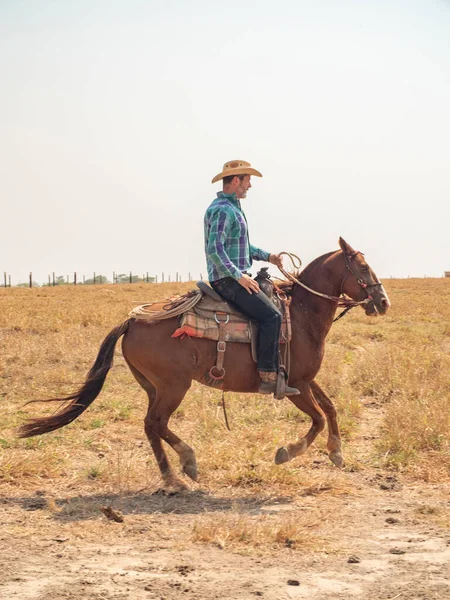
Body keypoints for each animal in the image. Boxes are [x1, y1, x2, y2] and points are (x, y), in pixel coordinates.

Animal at [18, 239, 390, 492]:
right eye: (362, 268)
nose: (383, 302)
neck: (300, 315)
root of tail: (132, 321)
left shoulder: (305, 380)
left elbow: (330, 407)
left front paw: (336, 451)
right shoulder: (293, 385)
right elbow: (316, 419)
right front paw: (287, 451)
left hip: (154, 387)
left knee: (150, 426)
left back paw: (173, 477)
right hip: (174, 386)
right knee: (156, 423)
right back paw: (187, 464)